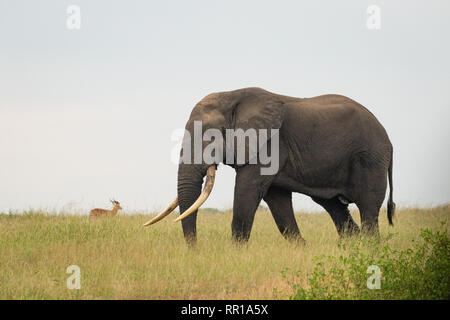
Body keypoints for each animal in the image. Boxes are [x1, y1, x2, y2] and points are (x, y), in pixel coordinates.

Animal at [144, 86, 394, 244]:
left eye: (211, 137)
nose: (195, 249)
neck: (231, 96)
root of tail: (388, 139)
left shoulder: (270, 145)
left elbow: (247, 191)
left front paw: (236, 253)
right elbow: (277, 200)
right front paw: (301, 248)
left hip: (371, 159)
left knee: (368, 207)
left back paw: (369, 249)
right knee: (335, 207)